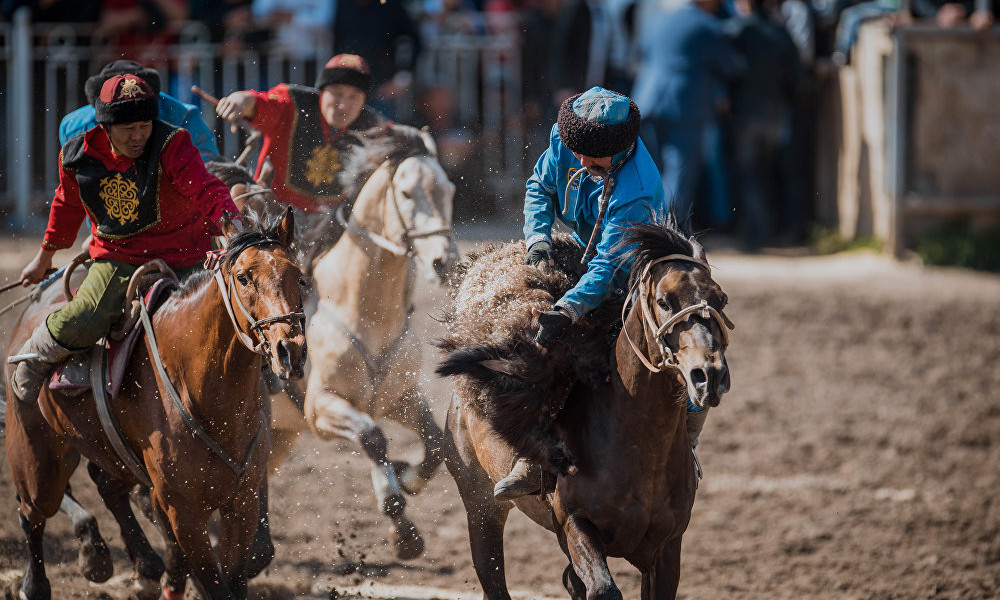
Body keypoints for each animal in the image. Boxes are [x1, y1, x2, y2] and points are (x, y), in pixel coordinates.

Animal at [3, 212, 304, 600]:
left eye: (299, 275)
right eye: (243, 277)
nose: (290, 351)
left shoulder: (243, 501)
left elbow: (238, 575)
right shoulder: (182, 511)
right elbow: (212, 582)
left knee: (106, 485)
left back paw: (138, 565)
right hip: (39, 461)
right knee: (31, 514)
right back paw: (39, 582)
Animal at [268, 127, 458, 564]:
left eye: (449, 189)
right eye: (406, 193)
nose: (444, 262)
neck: (362, 308)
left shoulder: (401, 397)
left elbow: (436, 445)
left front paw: (406, 477)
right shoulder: (321, 408)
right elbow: (373, 438)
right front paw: (403, 530)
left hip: (276, 437)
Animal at [438, 220, 736, 600]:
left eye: (720, 299)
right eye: (663, 301)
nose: (709, 375)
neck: (640, 449)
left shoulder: (668, 550)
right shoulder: (573, 525)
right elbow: (604, 589)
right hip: (479, 505)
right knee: (492, 576)